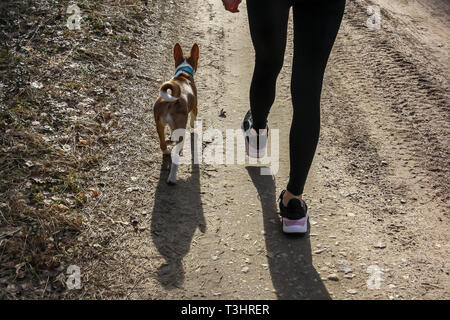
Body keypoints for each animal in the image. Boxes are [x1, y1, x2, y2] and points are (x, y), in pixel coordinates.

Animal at [153, 44, 199, 185]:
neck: (184, 74)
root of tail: (170, 100)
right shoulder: (195, 108)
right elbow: (193, 121)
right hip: (181, 132)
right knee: (176, 155)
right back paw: (172, 178)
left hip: (159, 125)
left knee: (163, 144)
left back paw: (167, 147)